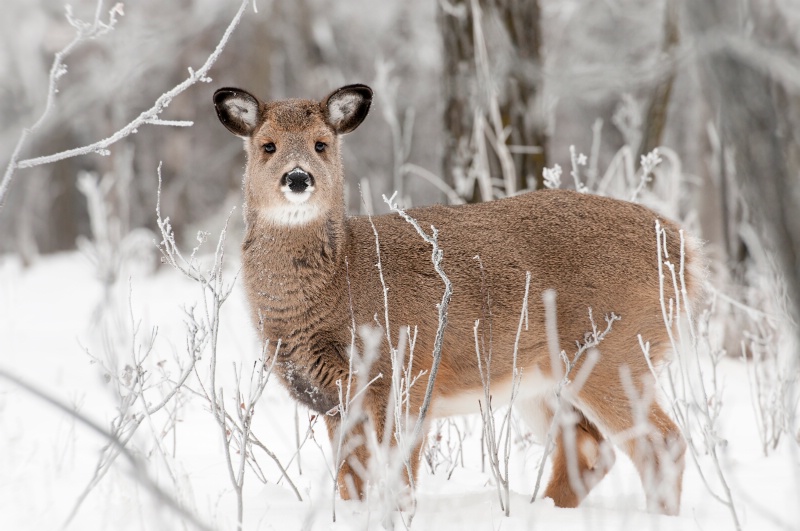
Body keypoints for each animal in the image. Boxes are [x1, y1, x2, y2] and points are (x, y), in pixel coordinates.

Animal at [214, 83, 700, 516]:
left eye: (321, 144)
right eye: (268, 146)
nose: (298, 178)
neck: (341, 281)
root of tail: (685, 250)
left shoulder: (404, 377)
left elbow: (399, 486)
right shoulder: (334, 401)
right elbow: (352, 487)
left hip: (616, 351)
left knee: (662, 443)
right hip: (542, 377)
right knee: (588, 449)